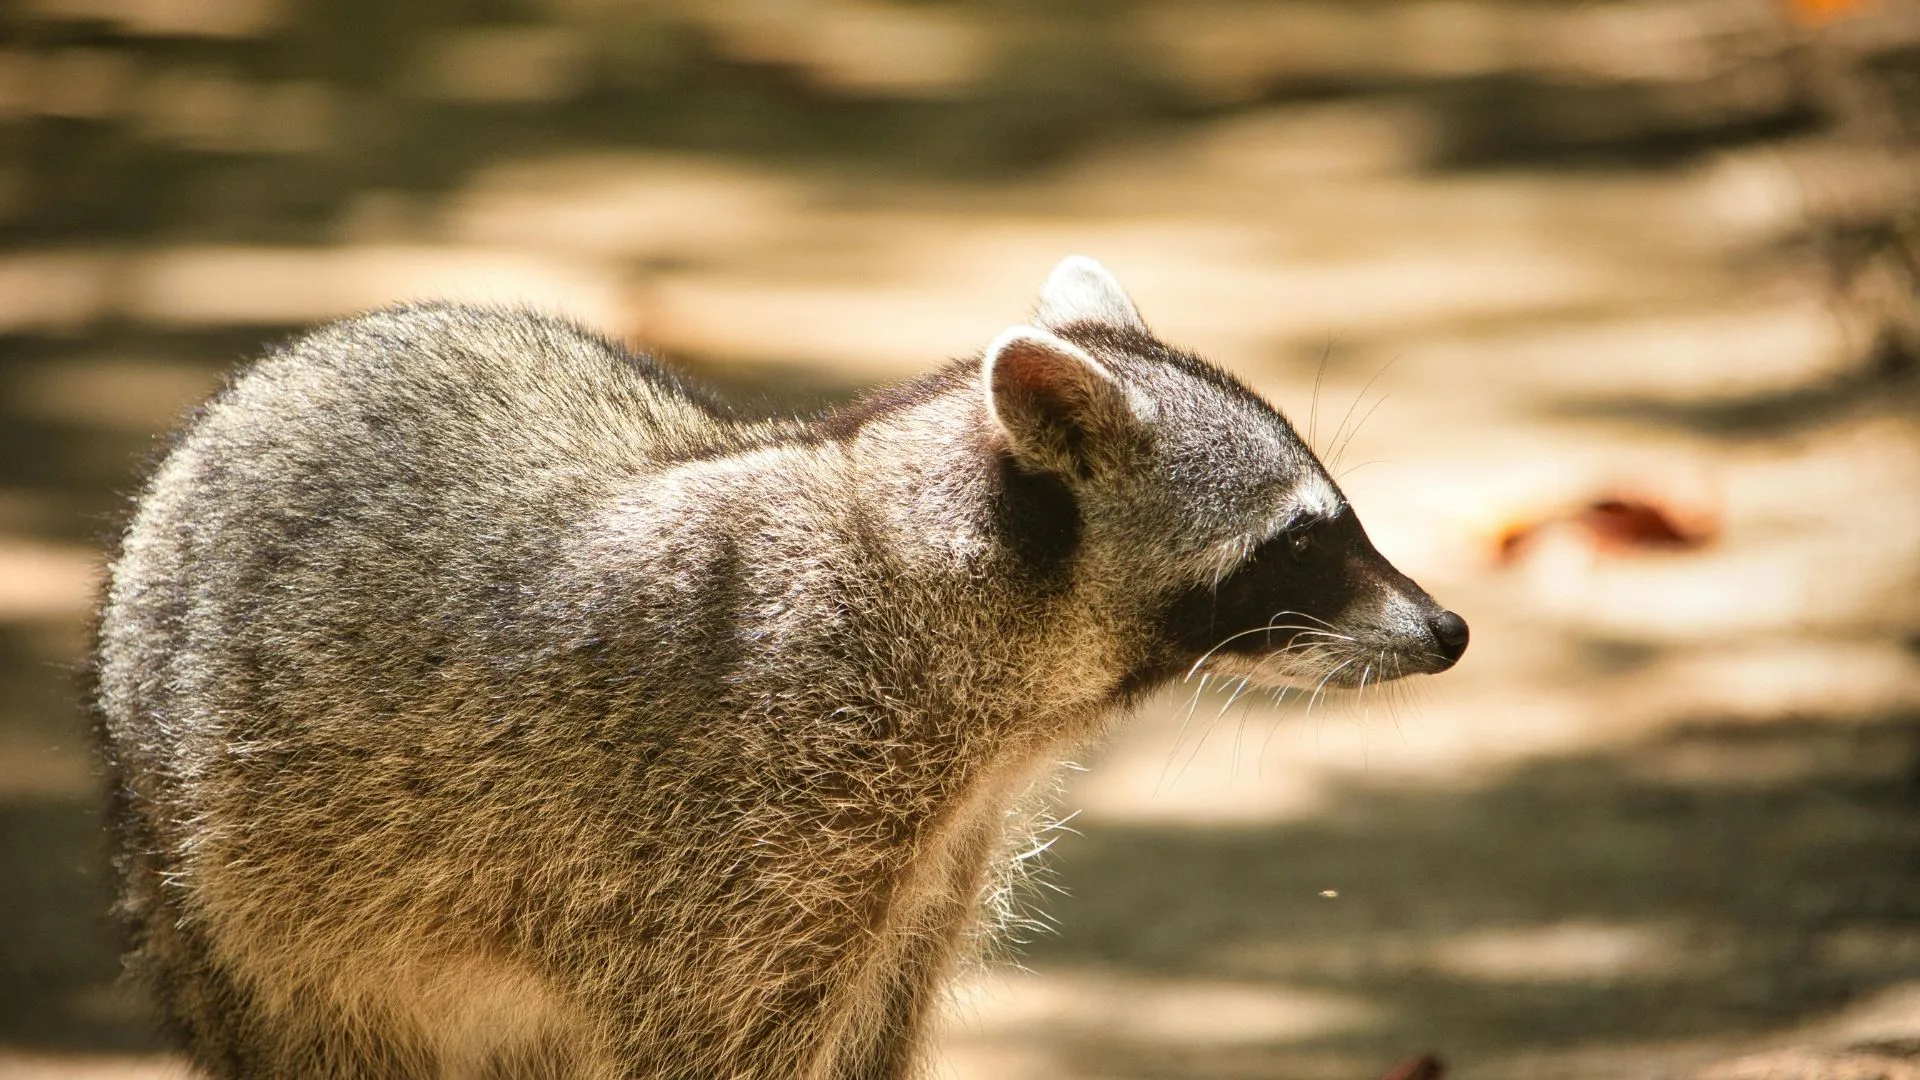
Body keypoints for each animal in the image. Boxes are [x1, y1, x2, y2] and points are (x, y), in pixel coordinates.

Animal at [91, 257, 1467, 1079]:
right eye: (1302, 544)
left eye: (1335, 525)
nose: (1448, 631)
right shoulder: (735, 832)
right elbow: (723, 1036)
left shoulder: (928, 866)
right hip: (246, 911)